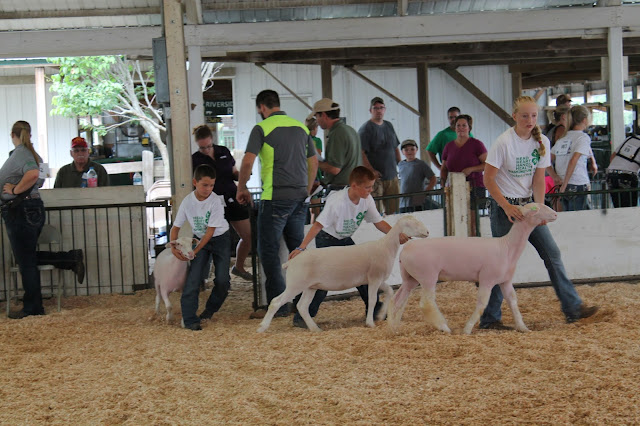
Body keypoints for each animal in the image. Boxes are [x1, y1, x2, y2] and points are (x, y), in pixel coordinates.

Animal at [257, 215, 430, 333]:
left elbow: (389, 292)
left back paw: (314, 328)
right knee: (276, 302)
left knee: (302, 306)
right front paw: (370, 323)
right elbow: (373, 299)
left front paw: (380, 315)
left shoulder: (376, 279)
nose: (428, 232)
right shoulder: (374, 278)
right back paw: (263, 327)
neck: (385, 247)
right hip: (295, 284)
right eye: (413, 224)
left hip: (310, 286)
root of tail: (290, 262)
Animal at [387, 203, 558, 335]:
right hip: (427, 276)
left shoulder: (505, 281)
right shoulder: (487, 278)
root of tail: (406, 249)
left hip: (410, 279)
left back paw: (394, 329)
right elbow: (482, 303)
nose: (555, 214)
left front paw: (522, 327)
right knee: (426, 303)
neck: (507, 247)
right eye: (538, 208)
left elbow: (513, 301)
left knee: (398, 300)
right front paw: (467, 329)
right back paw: (444, 327)